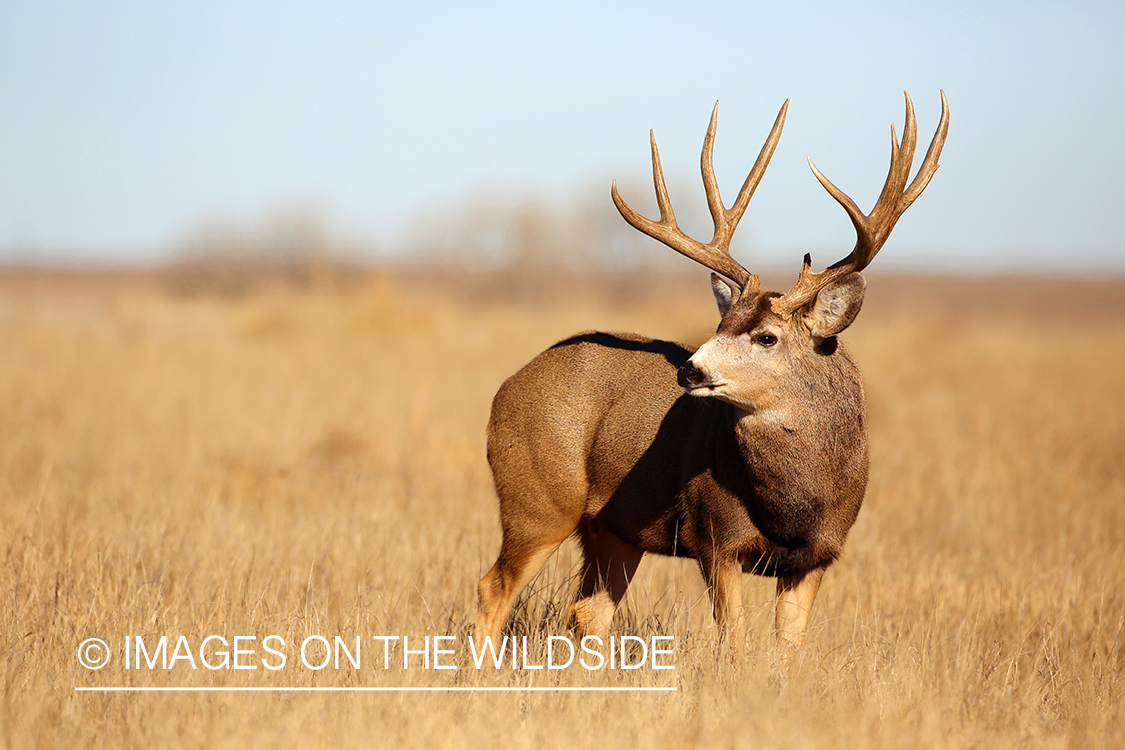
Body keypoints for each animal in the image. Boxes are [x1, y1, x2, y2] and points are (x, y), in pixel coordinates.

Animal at [476, 92, 949, 654]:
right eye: (721, 323)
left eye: (766, 336)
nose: (689, 370)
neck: (795, 506)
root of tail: (505, 389)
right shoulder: (716, 538)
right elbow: (736, 645)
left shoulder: (817, 556)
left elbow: (787, 651)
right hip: (539, 501)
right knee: (493, 587)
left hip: (613, 529)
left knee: (587, 612)